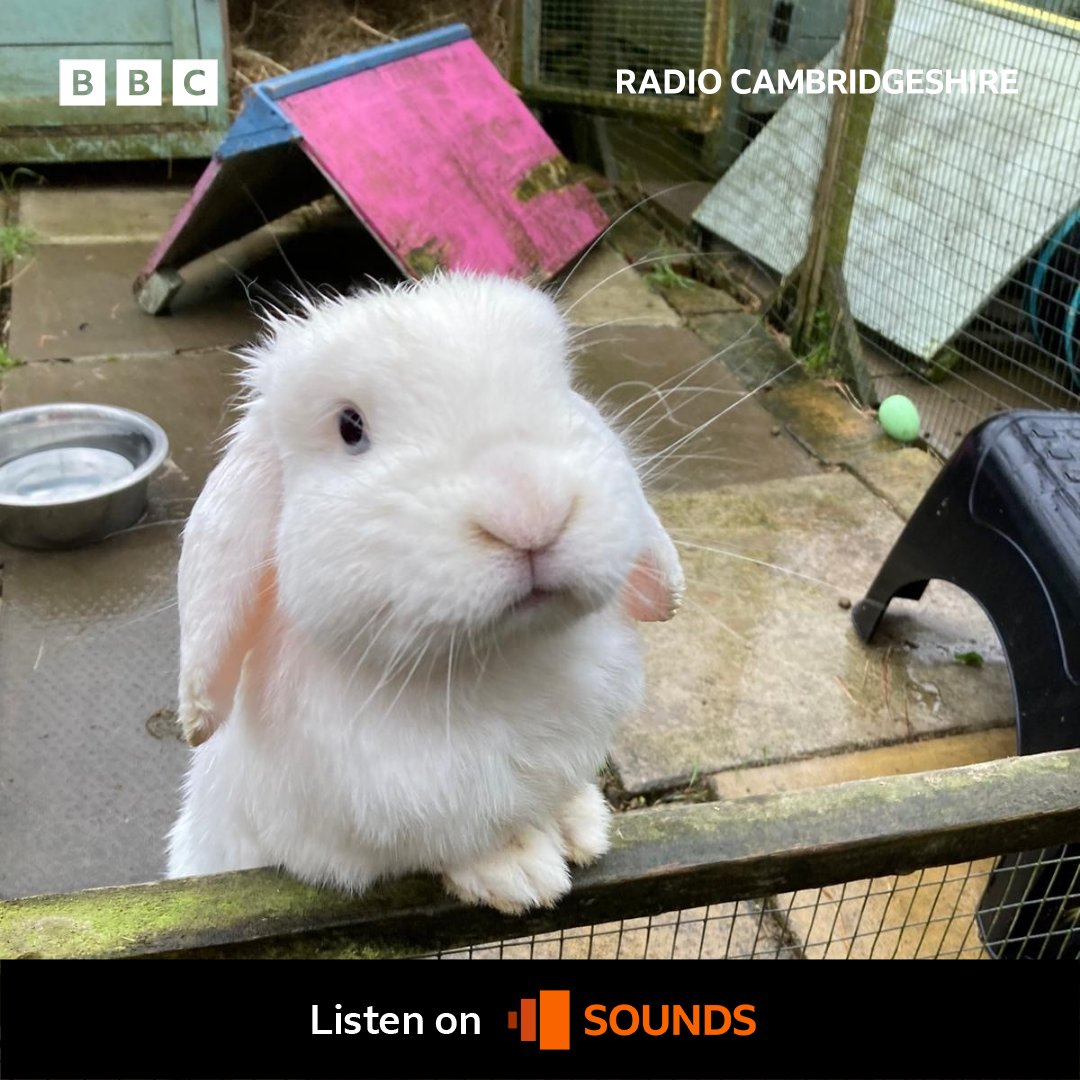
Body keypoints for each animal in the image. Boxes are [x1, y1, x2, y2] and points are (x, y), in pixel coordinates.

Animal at [166, 272, 684, 914]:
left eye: (561, 388)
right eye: (350, 428)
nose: (531, 509)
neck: (495, 665)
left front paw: (583, 826)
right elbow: (448, 845)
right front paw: (525, 874)